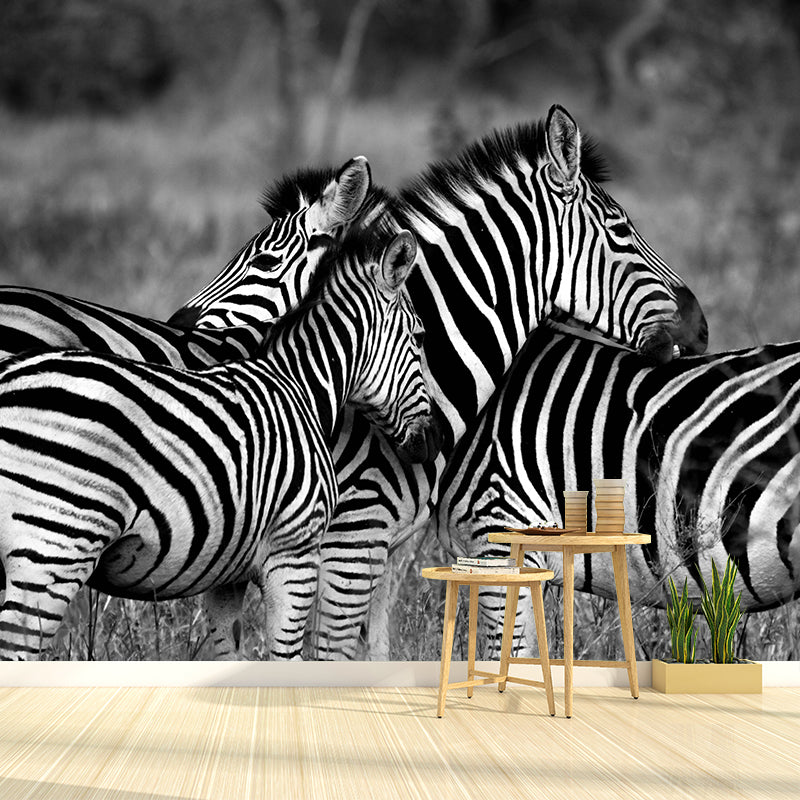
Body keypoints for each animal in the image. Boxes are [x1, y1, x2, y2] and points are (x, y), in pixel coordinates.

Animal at [0, 226, 441, 661]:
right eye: (420, 337)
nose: (432, 443)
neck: (299, 386)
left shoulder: (227, 570)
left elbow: (229, 654)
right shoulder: (294, 553)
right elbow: (286, 659)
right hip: (55, 548)